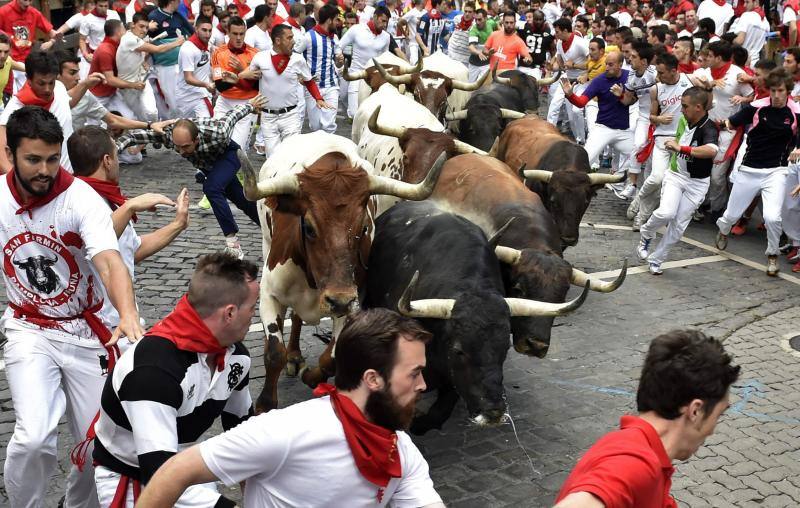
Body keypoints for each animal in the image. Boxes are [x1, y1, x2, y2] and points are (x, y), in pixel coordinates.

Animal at [238, 132, 450, 412]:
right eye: (308, 227)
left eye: (363, 228)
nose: (338, 299)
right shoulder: (269, 294)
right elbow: (274, 353)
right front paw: (264, 403)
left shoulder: (351, 301)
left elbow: (331, 357)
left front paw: (311, 375)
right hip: (265, 240)